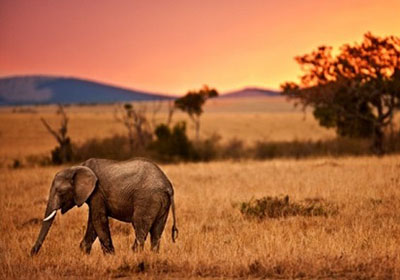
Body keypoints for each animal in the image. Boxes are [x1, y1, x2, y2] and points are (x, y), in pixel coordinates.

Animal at [28, 158, 177, 256]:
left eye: (60, 192)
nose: (31, 254)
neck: (78, 167)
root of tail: (168, 186)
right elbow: (93, 223)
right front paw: (84, 254)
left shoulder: (97, 192)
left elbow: (98, 220)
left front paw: (110, 256)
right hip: (161, 202)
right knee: (157, 230)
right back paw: (153, 256)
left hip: (147, 199)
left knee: (140, 226)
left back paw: (135, 254)